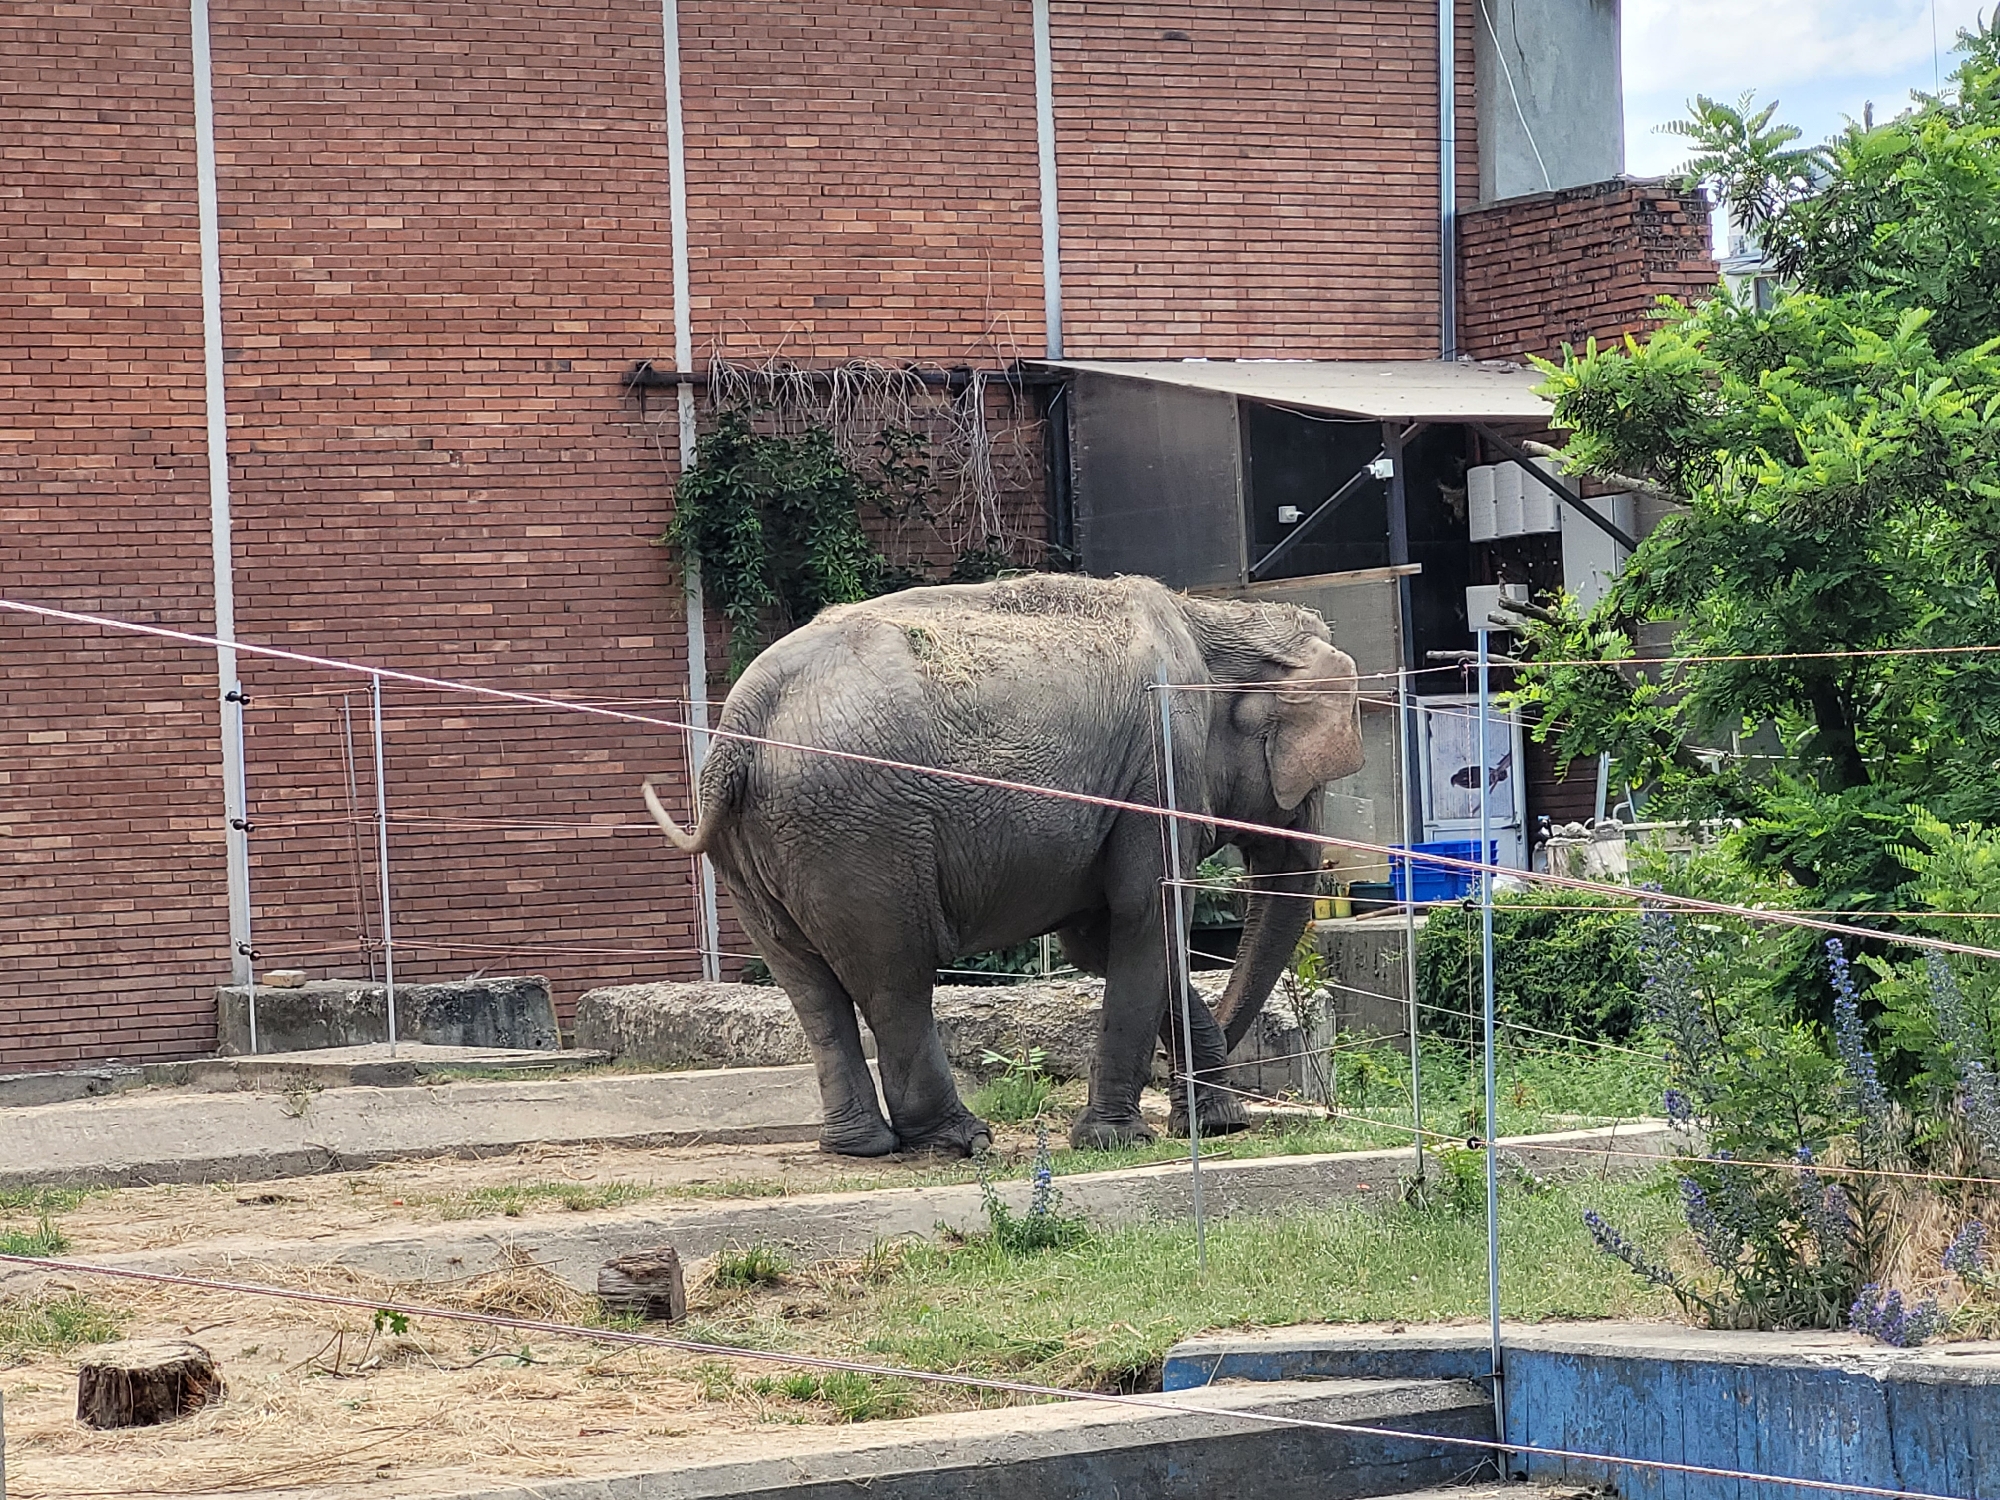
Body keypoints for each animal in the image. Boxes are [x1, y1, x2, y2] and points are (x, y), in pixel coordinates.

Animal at [643, 572, 1362, 1156]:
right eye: (1314, 787)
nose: (1218, 1110)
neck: (1217, 619)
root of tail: (739, 725)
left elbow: (1101, 941)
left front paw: (1212, 1122)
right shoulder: (1160, 767)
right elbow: (1146, 918)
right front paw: (1118, 1140)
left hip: (761, 849)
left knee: (809, 983)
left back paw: (861, 1147)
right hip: (859, 833)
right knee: (896, 976)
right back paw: (960, 1140)